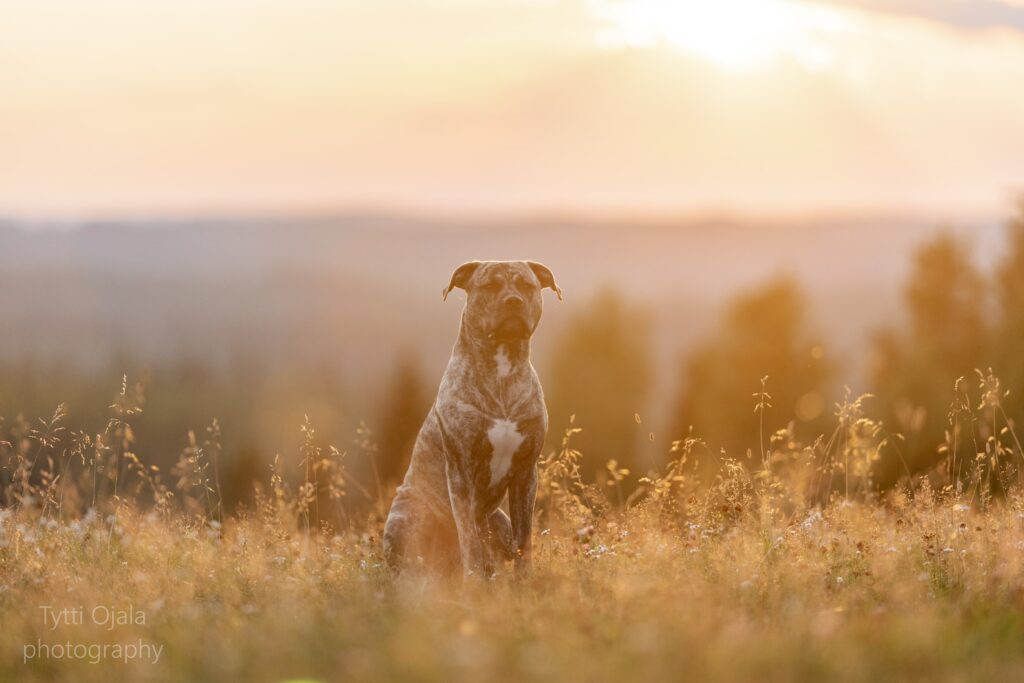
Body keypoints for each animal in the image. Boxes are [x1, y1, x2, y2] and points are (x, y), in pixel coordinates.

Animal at [382, 260, 561, 577]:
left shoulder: (526, 472)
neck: (502, 370)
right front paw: (473, 579)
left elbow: (524, 537)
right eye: (490, 285)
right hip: (404, 517)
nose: (513, 301)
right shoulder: (461, 472)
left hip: (498, 521)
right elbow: (469, 538)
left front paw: (525, 578)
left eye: (526, 285)